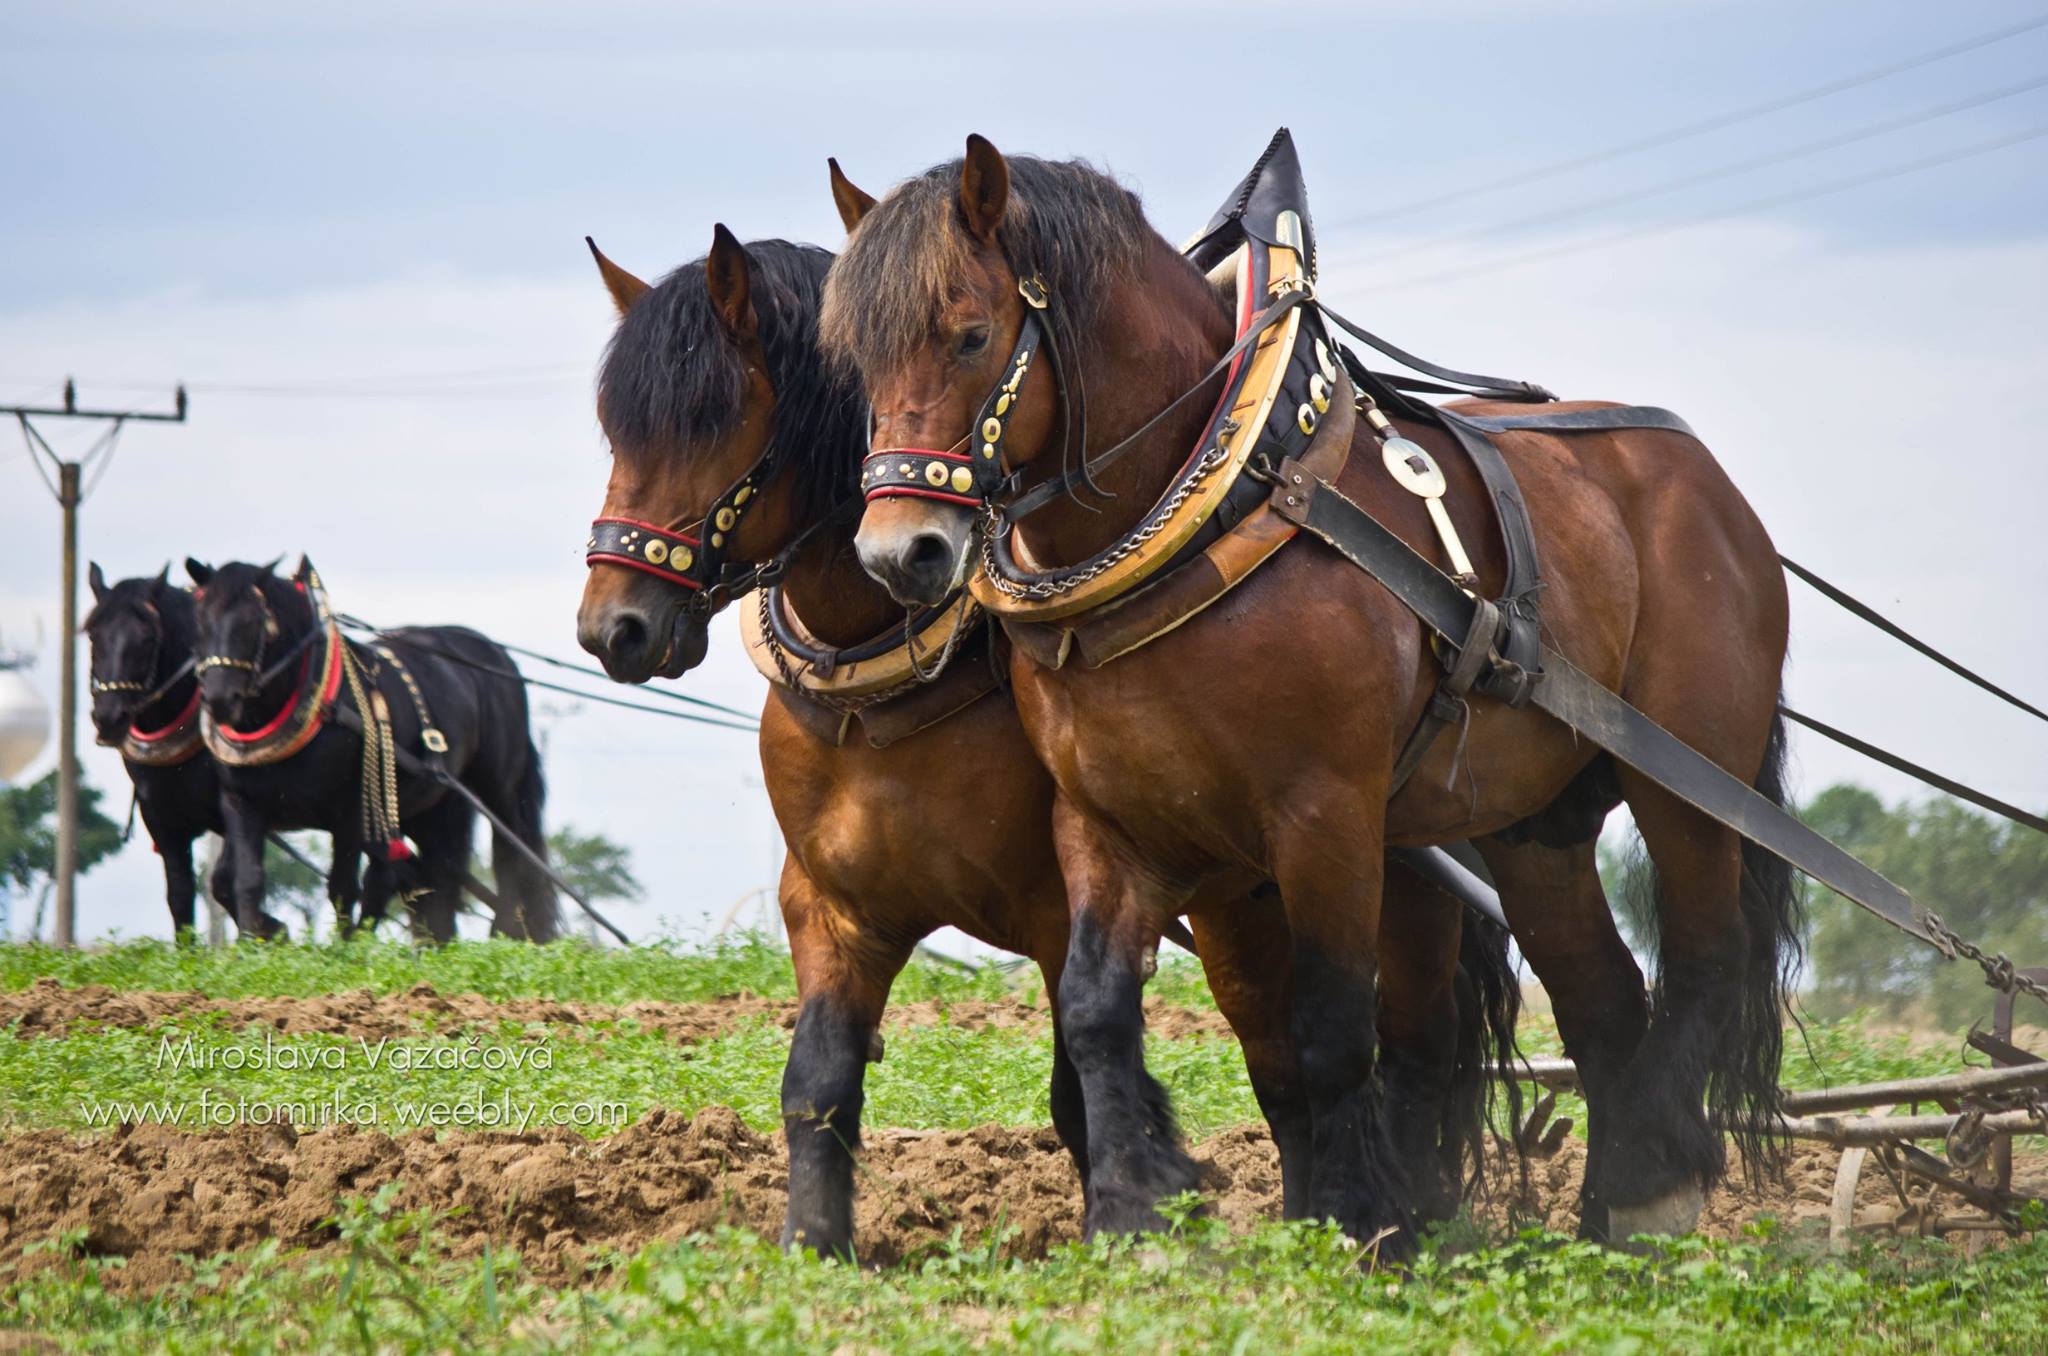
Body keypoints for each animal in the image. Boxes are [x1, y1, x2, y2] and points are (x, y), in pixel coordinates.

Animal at [83, 569, 290, 942]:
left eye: (146, 639)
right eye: (94, 635)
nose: (109, 718)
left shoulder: (233, 804)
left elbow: (222, 881)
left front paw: (270, 931)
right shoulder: (160, 817)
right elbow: (179, 893)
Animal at [187, 557, 561, 946]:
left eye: (253, 622)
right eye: (199, 620)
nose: (220, 699)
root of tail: (499, 657)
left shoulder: (350, 809)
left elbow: (343, 886)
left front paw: (343, 949)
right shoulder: (241, 803)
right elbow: (242, 880)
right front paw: (256, 940)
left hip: (497, 785)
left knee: (511, 852)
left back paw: (510, 931)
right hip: (432, 802)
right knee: (431, 873)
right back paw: (436, 940)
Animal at [573, 218, 1523, 1261]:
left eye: (714, 420)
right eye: (616, 427)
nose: (611, 628)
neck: (884, 676)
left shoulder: (1054, 904)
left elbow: (1080, 1087)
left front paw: (1148, 1202)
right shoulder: (830, 908)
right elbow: (816, 1080)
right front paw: (814, 1245)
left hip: (1382, 871)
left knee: (1418, 1046)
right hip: (1244, 900)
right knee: (1280, 1058)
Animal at [823, 140, 1802, 1253]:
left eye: (971, 334)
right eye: (852, 360)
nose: (897, 554)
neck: (1221, 502)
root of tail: (1708, 484)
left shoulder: (1324, 810)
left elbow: (1333, 1026)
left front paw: (1353, 1222)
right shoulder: (1107, 818)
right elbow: (1094, 1006)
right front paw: (1131, 1214)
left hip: (1692, 776)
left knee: (1706, 954)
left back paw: (1651, 1178)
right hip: (1527, 820)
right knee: (1601, 992)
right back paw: (1610, 1209)